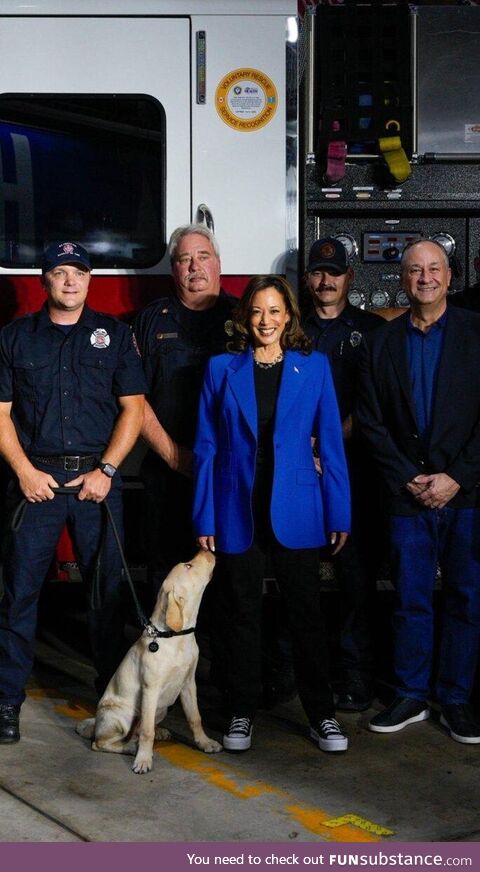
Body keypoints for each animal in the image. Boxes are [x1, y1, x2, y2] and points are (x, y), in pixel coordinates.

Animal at [76, 548, 222, 772]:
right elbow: (146, 731)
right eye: (188, 565)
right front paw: (143, 759)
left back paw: (158, 732)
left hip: (161, 709)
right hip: (123, 716)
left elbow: (195, 718)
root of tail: (96, 725)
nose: (206, 548)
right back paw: (130, 747)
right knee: (102, 743)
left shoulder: (189, 684)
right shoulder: (150, 689)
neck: (175, 636)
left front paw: (205, 742)